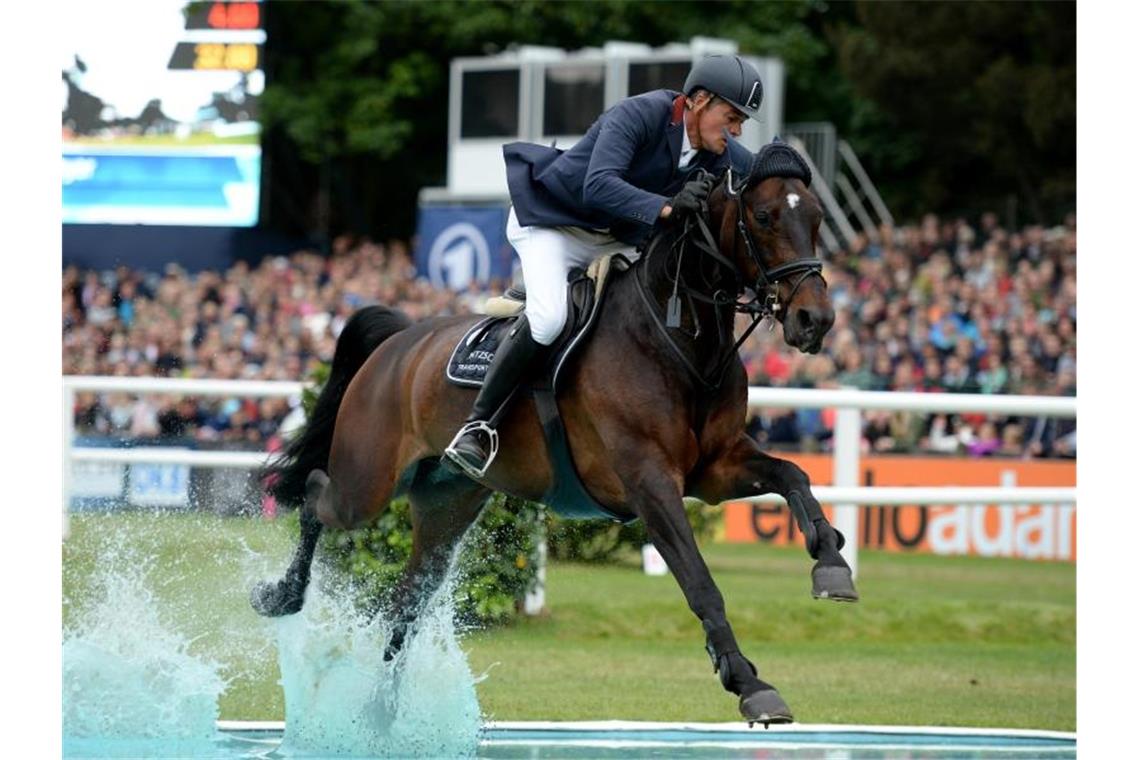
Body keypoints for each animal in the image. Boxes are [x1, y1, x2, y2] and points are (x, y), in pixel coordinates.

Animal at [249, 139, 857, 729]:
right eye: (764, 216)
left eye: (819, 217)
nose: (815, 321)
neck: (680, 338)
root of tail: (399, 342)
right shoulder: (650, 484)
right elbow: (700, 581)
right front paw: (750, 686)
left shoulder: (715, 469)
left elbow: (793, 475)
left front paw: (831, 565)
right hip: (369, 482)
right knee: (316, 495)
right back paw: (280, 596)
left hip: (447, 504)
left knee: (407, 596)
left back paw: (380, 710)